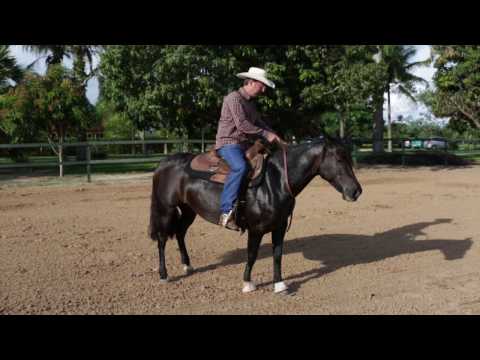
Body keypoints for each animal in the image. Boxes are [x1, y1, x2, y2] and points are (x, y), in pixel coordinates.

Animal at [148, 136, 362, 294]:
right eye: (339, 159)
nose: (356, 191)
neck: (276, 180)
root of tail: (165, 162)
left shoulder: (279, 227)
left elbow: (277, 254)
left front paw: (279, 285)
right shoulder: (256, 229)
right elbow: (252, 254)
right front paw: (247, 284)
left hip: (188, 210)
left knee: (180, 233)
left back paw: (187, 266)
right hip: (166, 210)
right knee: (162, 239)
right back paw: (164, 275)